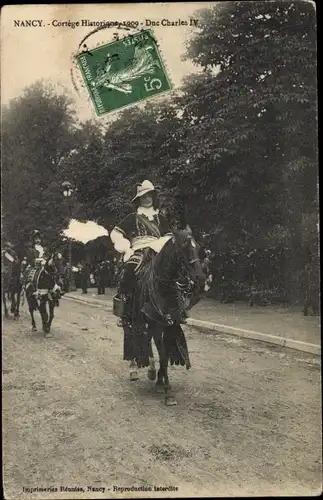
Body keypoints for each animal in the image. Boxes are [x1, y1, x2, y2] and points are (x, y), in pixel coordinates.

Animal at [120, 230, 206, 406]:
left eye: (198, 247)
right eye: (184, 248)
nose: (200, 279)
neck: (164, 289)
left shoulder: (169, 325)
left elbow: (164, 356)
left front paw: (160, 382)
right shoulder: (156, 325)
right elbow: (164, 357)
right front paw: (168, 392)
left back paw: (151, 370)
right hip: (131, 316)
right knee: (130, 334)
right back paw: (134, 369)